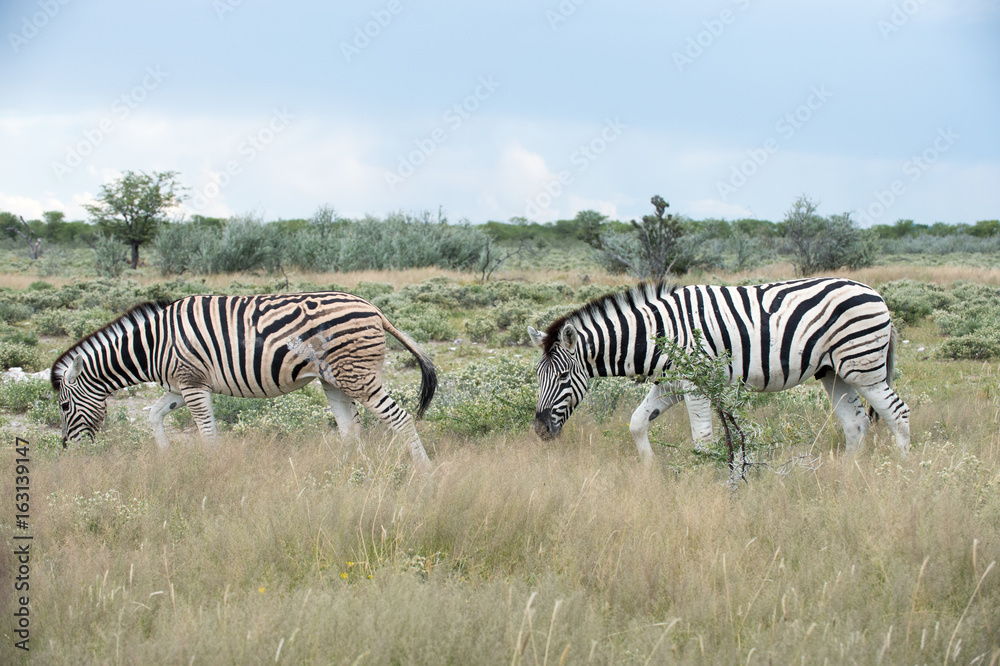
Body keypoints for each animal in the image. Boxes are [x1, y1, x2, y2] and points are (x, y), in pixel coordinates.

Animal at [51, 292, 437, 468]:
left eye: (64, 406)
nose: (67, 450)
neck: (153, 344)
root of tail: (375, 308)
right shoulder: (179, 385)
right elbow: (153, 414)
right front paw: (165, 455)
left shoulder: (192, 382)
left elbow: (207, 433)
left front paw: (210, 470)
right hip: (333, 380)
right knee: (350, 429)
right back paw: (347, 471)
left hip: (357, 376)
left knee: (399, 418)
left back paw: (425, 473)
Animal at [527, 277, 909, 460]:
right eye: (538, 378)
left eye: (563, 376)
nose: (540, 431)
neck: (659, 334)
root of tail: (875, 292)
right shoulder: (669, 384)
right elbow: (637, 423)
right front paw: (651, 472)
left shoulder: (694, 383)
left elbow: (703, 441)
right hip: (834, 372)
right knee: (856, 423)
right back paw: (847, 475)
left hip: (863, 367)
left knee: (898, 413)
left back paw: (904, 471)